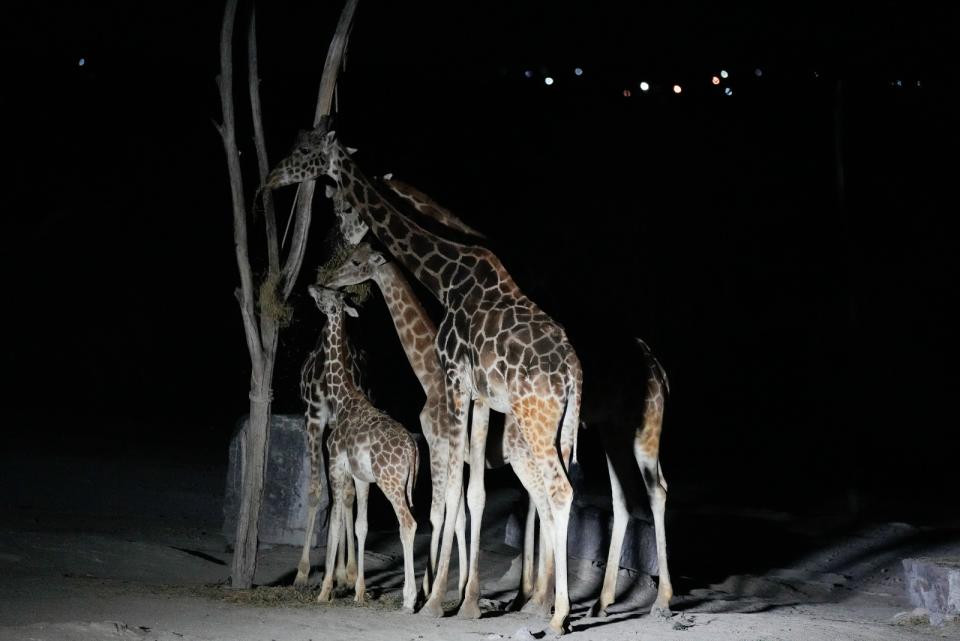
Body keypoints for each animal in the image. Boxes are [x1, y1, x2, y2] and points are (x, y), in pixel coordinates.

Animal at [308, 286, 420, 608]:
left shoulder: (336, 464)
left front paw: (325, 590)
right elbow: (361, 525)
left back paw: (409, 599)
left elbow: (334, 523)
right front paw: (358, 590)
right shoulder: (360, 477)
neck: (342, 397)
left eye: (327, 296)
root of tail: (413, 450)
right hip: (401, 483)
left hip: (390, 481)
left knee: (408, 523)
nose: (312, 287)